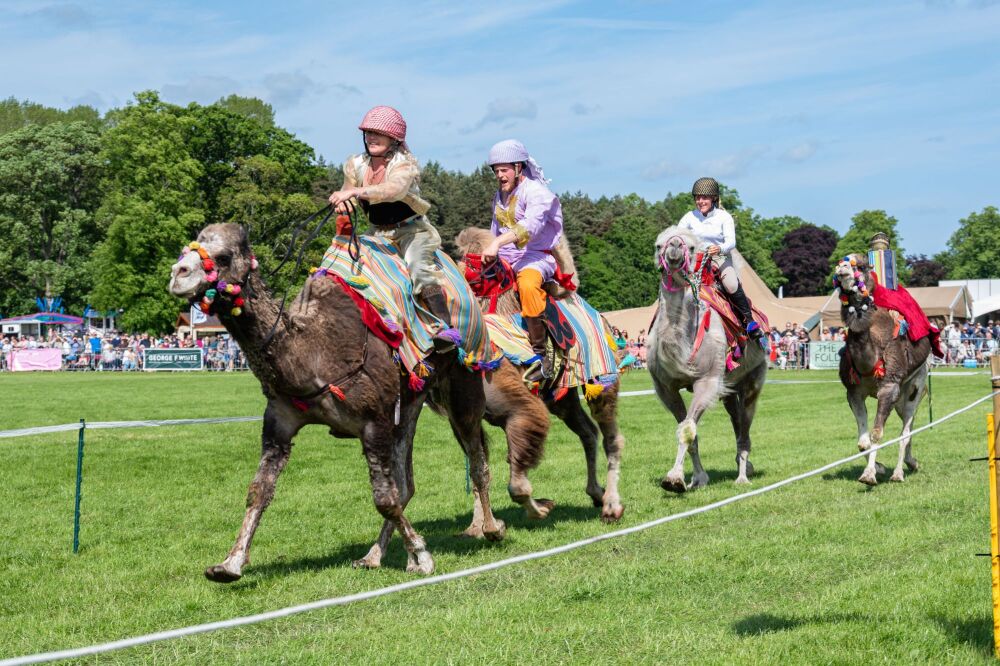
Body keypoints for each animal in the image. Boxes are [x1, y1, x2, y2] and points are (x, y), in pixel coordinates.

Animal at [169, 220, 508, 580]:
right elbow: (258, 490)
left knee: (477, 459)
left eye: (223, 256)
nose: (178, 273)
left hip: (463, 383)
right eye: (187, 248)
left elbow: (383, 498)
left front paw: (423, 553)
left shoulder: (373, 421)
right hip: (411, 400)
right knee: (407, 481)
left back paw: (489, 528)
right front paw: (230, 563)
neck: (313, 351)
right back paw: (375, 556)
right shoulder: (280, 422)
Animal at [454, 226, 624, 520]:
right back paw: (595, 492)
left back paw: (612, 504)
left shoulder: (517, 406)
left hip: (602, 377)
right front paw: (479, 524)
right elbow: (479, 468)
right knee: (588, 432)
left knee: (610, 436)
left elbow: (511, 475)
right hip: (561, 395)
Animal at [648, 226, 764, 490]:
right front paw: (696, 479)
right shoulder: (665, 388)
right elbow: (688, 430)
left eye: (692, 247)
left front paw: (674, 478)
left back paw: (742, 476)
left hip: (754, 378)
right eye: (658, 245)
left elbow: (687, 429)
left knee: (745, 424)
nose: (674, 248)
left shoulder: (707, 381)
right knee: (735, 418)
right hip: (729, 386)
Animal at [828, 253, 928, 482]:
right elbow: (862, 441)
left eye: (861, 266)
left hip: (916, 384)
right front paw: (878, 468)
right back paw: (912, 463)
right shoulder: (853, 391)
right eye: (838, 263)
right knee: (907, 427)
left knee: (906, 430)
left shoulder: (889, 387)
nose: (842, 268)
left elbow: (876, 433)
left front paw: (869, 475)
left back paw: (899, 473)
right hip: (900, 398)